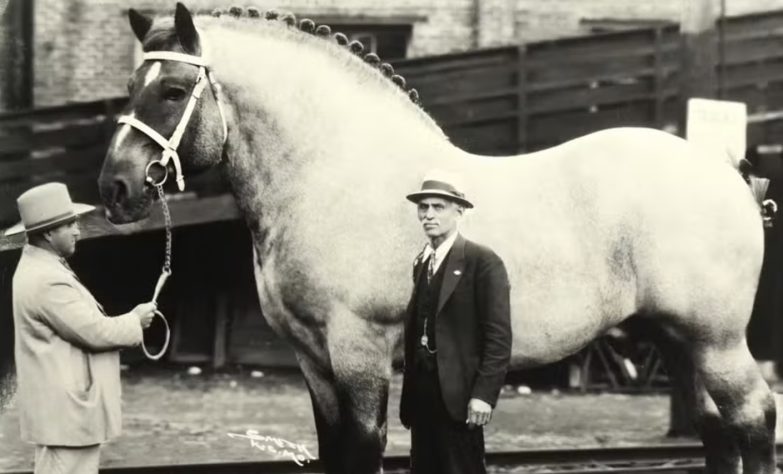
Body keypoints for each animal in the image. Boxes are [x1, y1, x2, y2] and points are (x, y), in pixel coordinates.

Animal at [97, 4, 775, 473]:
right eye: (129, 89)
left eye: (173, 91)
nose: (115, 187)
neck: (334, 170)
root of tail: (727, 172)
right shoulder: (312, 358)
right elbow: (332, 448)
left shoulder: (359, 349)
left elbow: (362, 448)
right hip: (680, 341)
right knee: (717, 430)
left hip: (715, 341)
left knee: (754, 418)